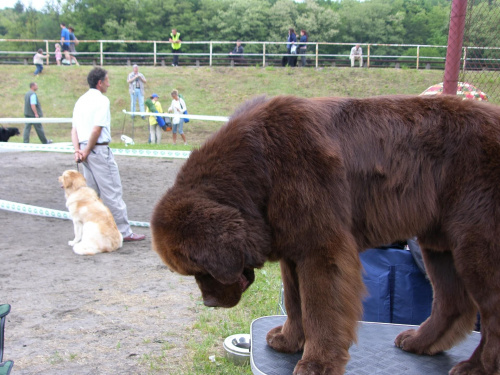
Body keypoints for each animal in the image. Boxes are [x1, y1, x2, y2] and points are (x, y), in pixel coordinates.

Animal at [151, 96, 500, 375]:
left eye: (201, 269)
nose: (208, 303)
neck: (260, 169)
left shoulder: (321, 248)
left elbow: (320, 308)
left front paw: (317, 363)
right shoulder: (292, 249)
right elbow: (295, 302)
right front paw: (289, 340)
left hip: (475, 243)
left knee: (489, 311)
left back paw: (478, 367)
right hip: (439, 244)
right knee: (453, 302)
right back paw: (420, 341)